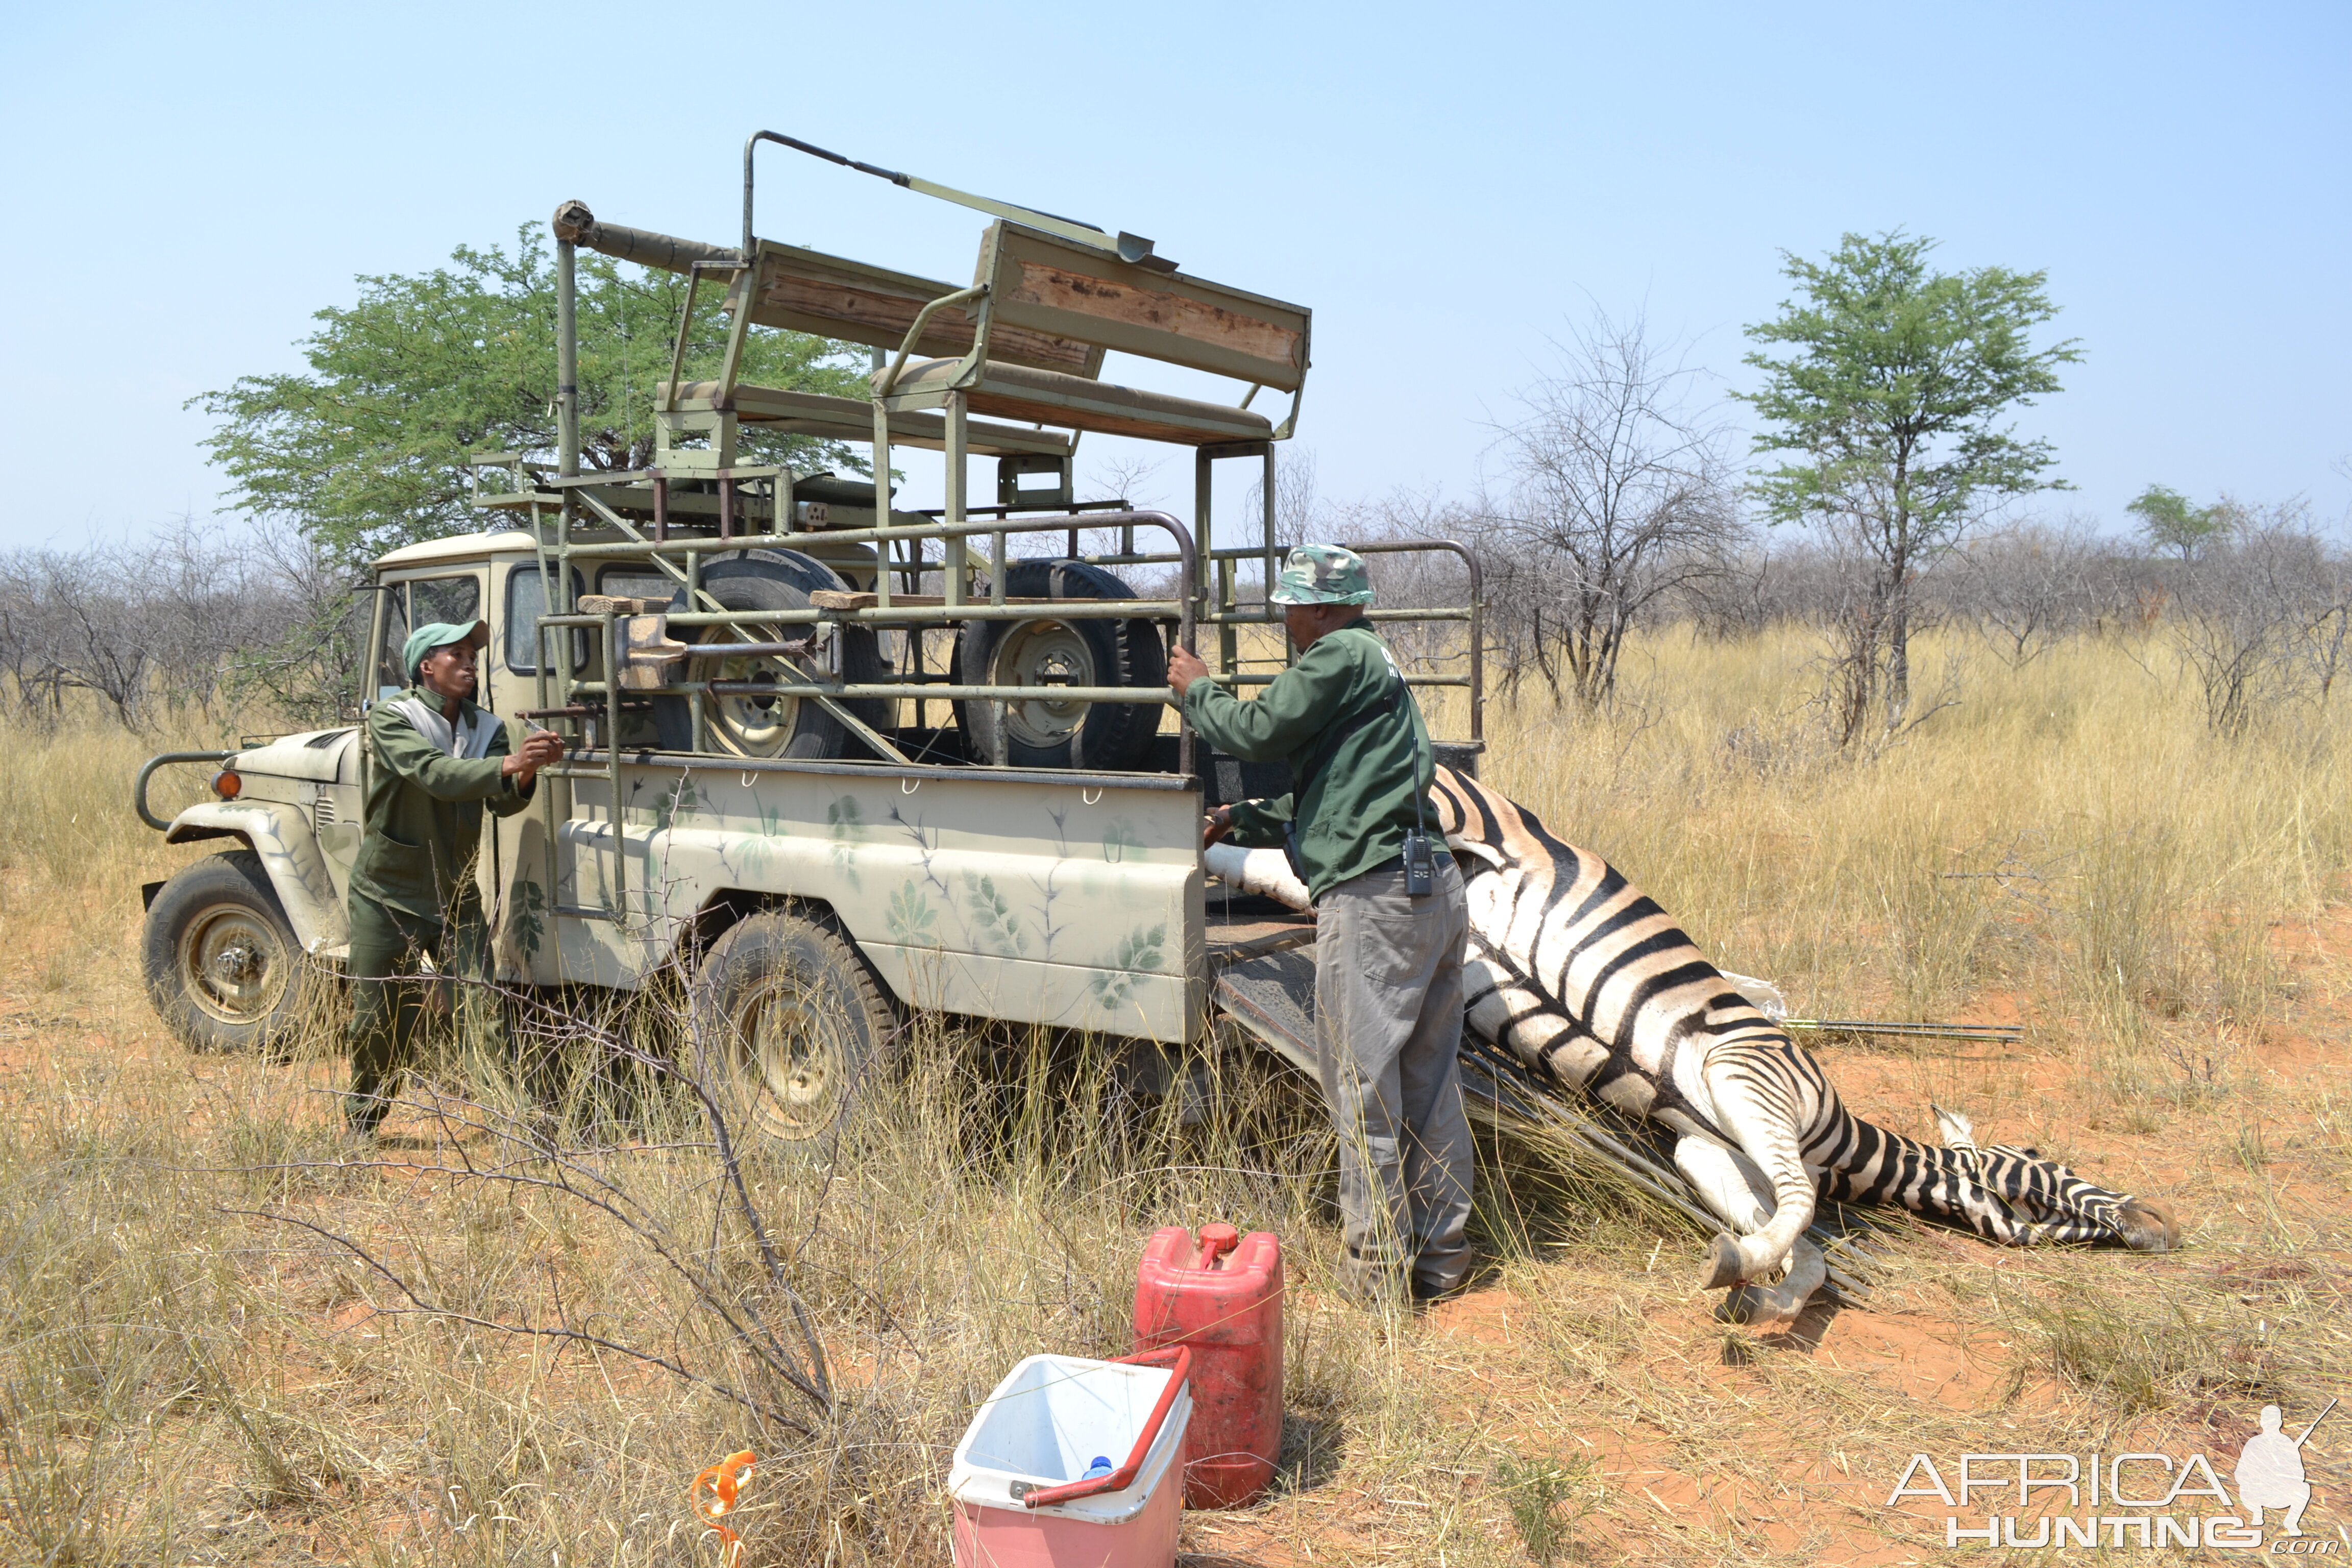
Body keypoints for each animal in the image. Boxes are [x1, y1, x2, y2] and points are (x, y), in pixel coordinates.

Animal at [1213, 766, 2183, 1335]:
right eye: (2052, 1166)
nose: (2164, 1232)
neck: (1836, 1134)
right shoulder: (1751, 1076)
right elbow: (1801, 1207)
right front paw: (1741, 1270)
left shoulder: (1712, 1146)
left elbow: (1799, 1239)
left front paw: (1763, 1290)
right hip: (1452, 811)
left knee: (1287, 861)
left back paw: (1219, 854)